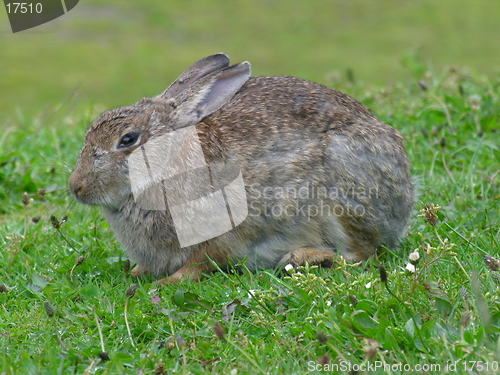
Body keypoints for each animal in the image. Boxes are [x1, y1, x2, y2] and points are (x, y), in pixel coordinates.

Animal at [69, 52, 414, 282]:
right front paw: (137, 273)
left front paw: (167, 282)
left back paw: (304, 257)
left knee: (360, 253)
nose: (76, 187)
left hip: (342, 192)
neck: (168, 166)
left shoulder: (224, 230)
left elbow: (201, 262)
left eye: (128, 140)